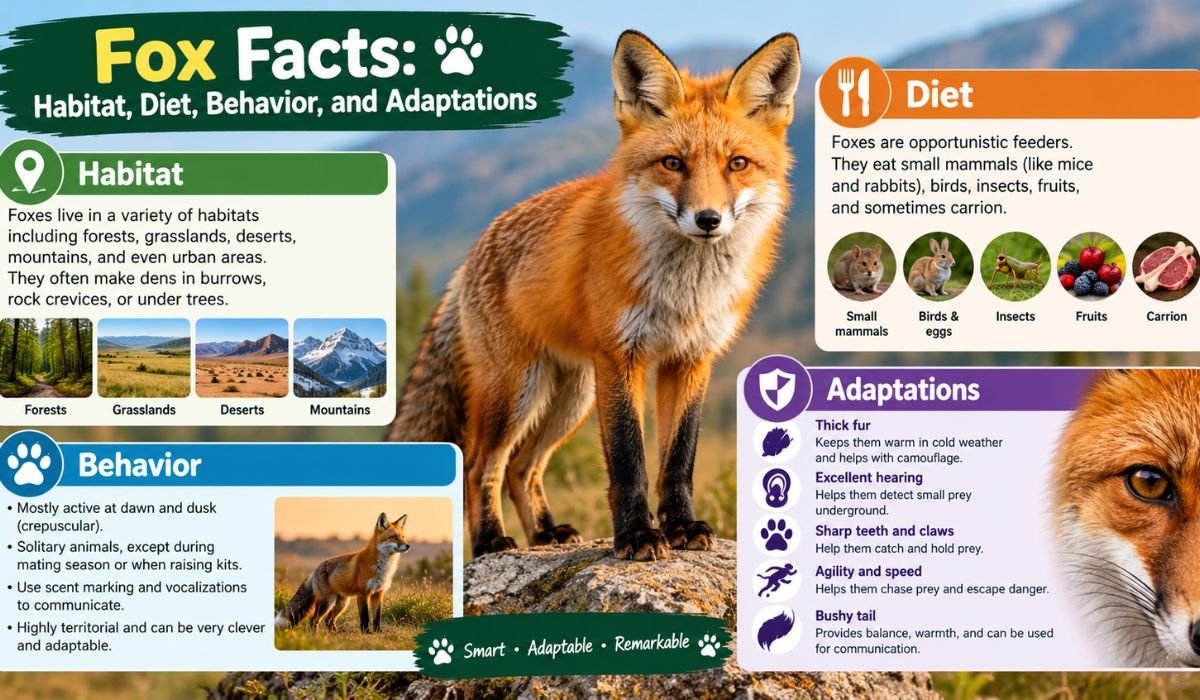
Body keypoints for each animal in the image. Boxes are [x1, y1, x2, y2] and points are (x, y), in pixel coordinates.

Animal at [274, 513, 410, 633]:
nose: (408, 546)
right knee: (314, 620)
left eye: (403, 537)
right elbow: (365, 617)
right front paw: (366, 632)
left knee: (329, 620)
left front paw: (378, 632)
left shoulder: (379, 593)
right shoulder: (363, 593)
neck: (382, 568)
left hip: (342, 603)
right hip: (327, 602)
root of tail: (316, 569)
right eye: (394, 537)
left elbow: (377, 617)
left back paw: (336, 633)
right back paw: (316, 636)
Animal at [387, 30, 800, 561]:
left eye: (738, 164)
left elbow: (678, 459)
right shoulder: (622, 357)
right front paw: (637, 536)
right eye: (673, 163)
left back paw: (546, 534)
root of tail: (473, 252)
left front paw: (681, 527)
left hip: (570, 397)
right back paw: (491, 541)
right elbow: (628, 460)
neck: (684, 294)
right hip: (517, 390)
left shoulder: (691, 359)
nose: (708, 220)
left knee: (523, 468)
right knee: (482, 466)